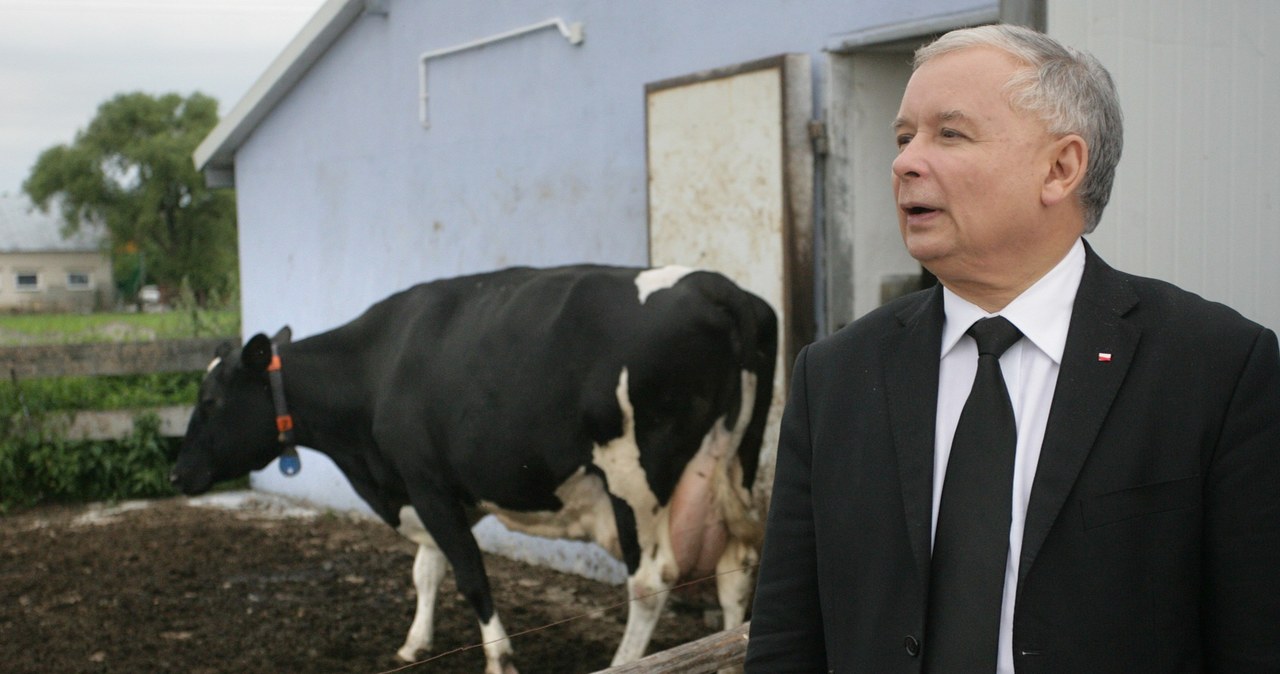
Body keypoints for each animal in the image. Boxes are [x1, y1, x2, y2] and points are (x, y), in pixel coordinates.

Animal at [166, 264, 773, 674]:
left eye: (211, 401)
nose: (175, 475)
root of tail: (717, 286)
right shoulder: (437, 490)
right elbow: (428, 569)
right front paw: (414, 643)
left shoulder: (426, 482)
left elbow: (470, 574)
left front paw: (499, 658)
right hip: (734, 464)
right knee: (735, 570)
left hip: (635, 480)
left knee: (651, 579)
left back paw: (624, 662)